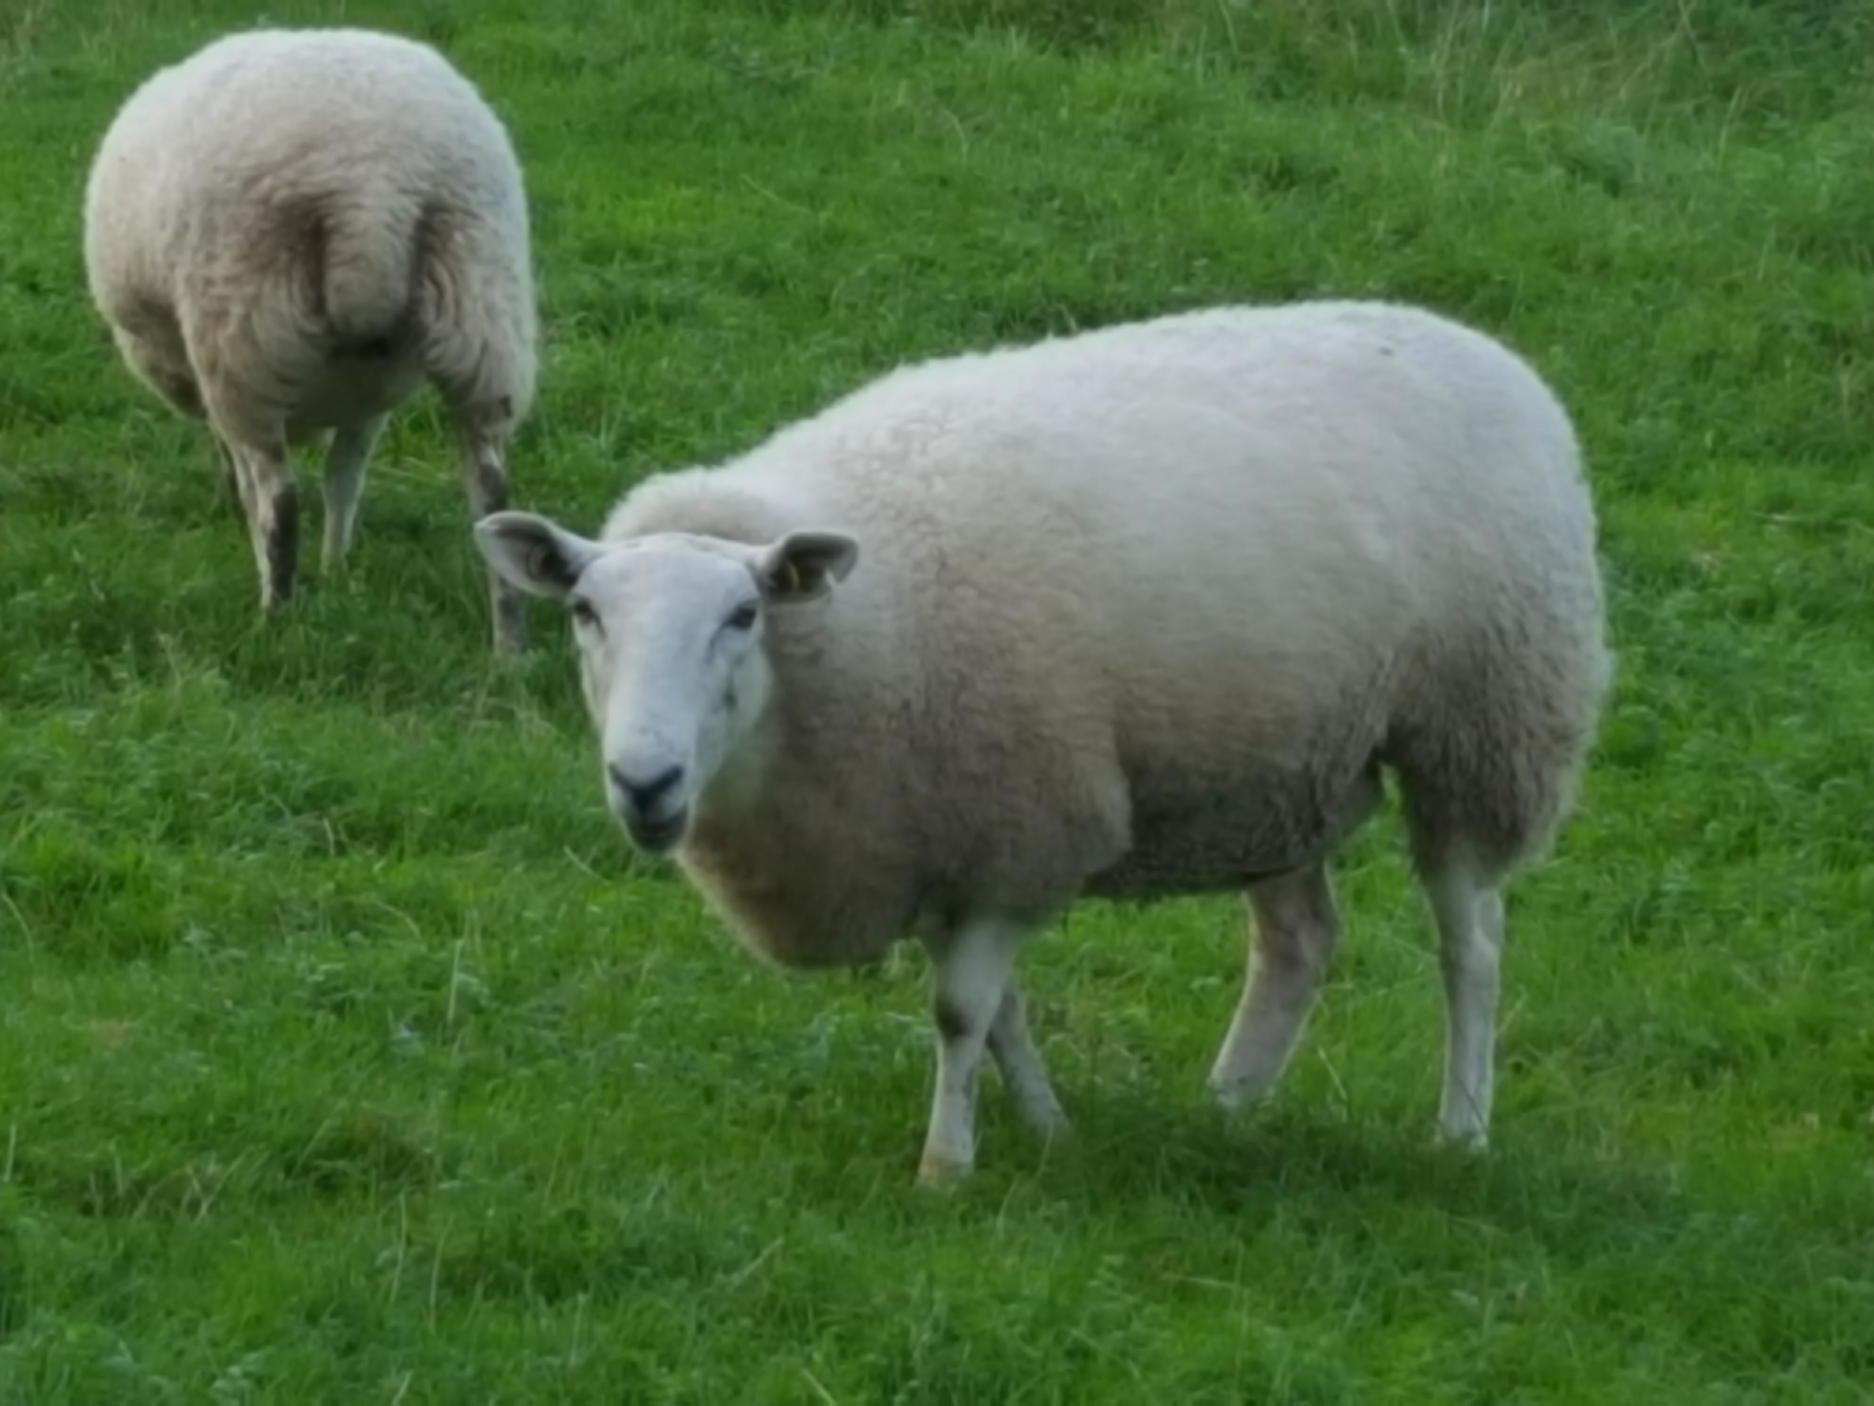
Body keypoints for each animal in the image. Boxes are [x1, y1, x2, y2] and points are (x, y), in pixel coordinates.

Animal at [88, 26, 543, 656]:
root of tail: (373, 188)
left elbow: (263, 488)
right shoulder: (372, 392)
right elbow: (344, 476)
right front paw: (337, 569)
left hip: (243, 332)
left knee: (280, 500)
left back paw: (274, 620)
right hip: (481, 307)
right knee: (491, 491)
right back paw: (511, 648)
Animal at [472, 303, 1611, 1184]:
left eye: (743, 615)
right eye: (585, 612)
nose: (645, 779)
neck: (854, 639)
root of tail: (1488, 351)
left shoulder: (1017, 821)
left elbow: (960, 1010)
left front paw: (947, 1164)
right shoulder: (951, 834)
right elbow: (1002, 1011)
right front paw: (1047, 1128)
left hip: (1482, 727)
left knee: (1470, 942)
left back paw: (1460, 1128)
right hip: (1280, 765)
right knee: (1298, 940)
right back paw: (1227, 1105)